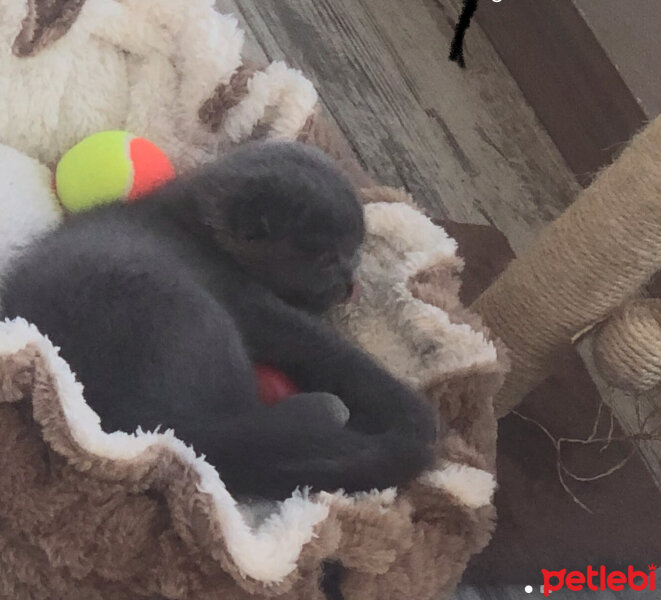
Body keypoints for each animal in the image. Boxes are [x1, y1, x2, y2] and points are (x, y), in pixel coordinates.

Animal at [5, 141, 440, 496]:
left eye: (356, 249)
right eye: (325, 258)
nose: (350, 284)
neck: (197, 227)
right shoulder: (246, 299)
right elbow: (326, 348)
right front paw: (411, 411)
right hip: (191, 313)